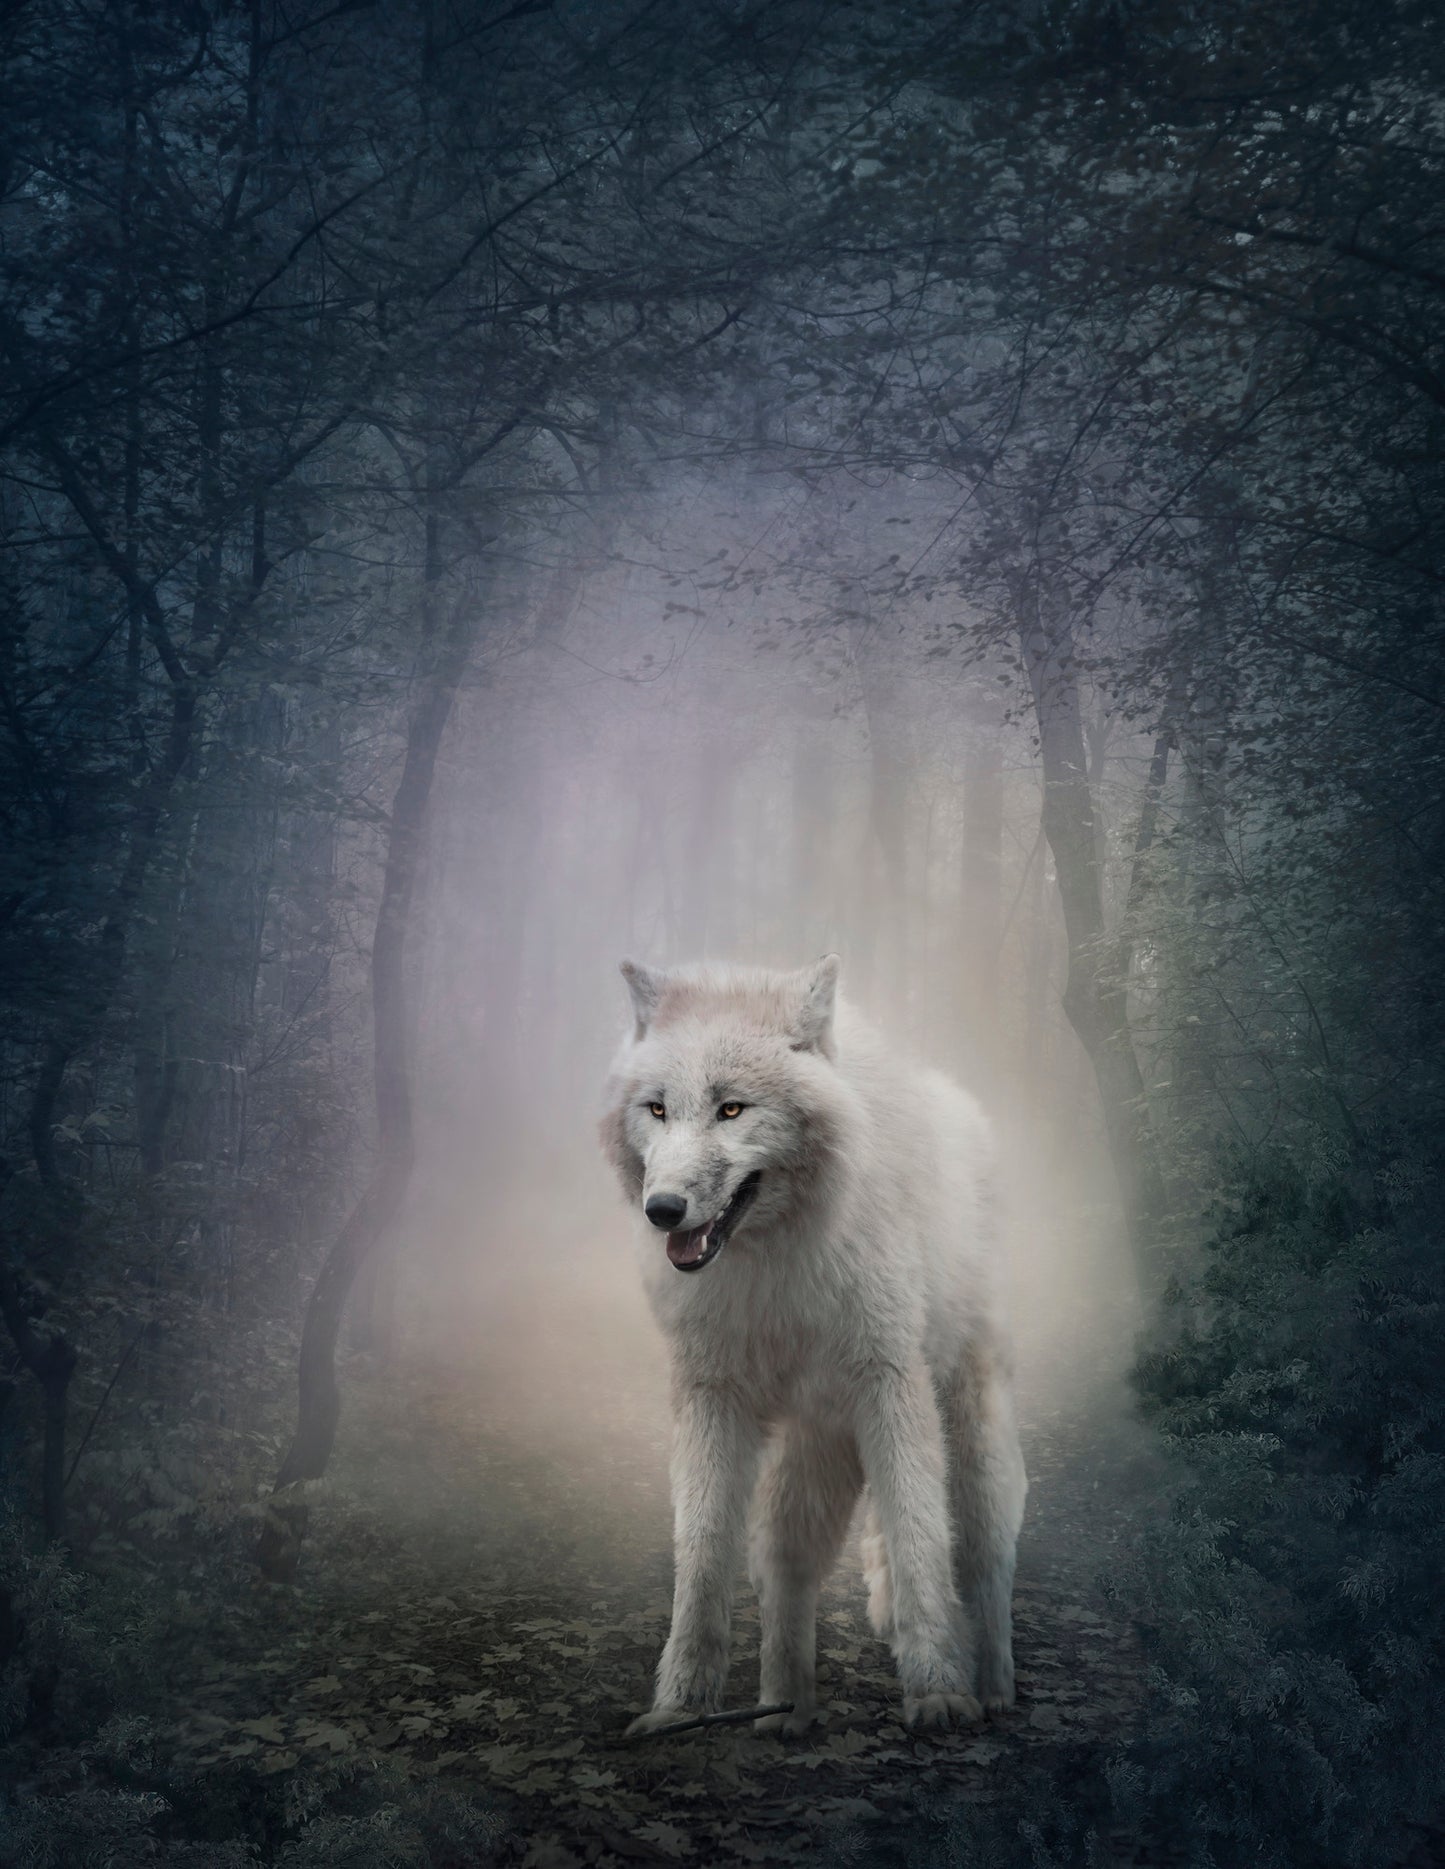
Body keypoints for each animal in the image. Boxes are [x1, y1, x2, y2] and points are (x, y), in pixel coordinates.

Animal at [599, 955, 1027, 1736]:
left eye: (731, 1109)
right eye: (657, 1109)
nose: (663, 1209)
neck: (774, 1264)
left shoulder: (890, 1383)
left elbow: (919, 1539)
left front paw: (939, 1693)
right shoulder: (710, 1398)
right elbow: (701, 1559)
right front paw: (678, 1708)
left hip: (968, 1431)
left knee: (984, 1553)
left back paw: (992, 1686)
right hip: (812, 1449)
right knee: (784, 1561)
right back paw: (782, 1707)